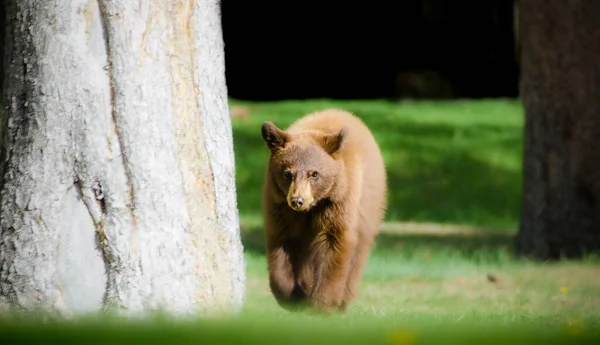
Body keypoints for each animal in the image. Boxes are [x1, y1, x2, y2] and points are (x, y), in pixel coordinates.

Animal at [260, 109, 386, 314]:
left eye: (314, 174)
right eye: (287, 173)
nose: (297, 201)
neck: (312, 207)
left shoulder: (339, 201)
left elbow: (335, 242)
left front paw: (322, 304)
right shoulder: (280, 206)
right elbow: (281, 241)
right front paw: (291, 296)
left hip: (368, 207)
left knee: (358, 253)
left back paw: (343, 301)